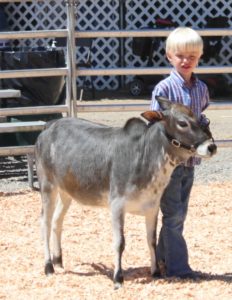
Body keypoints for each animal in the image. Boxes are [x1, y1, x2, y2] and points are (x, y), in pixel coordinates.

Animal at [35, 96, 217, 288]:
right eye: (182, 123)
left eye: (198, 118)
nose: (211, 147)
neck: (144, 156)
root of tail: (50, 126)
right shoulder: (116, 206)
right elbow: (119, 243)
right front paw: (118, 278)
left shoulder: (153, 207)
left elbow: (151, 240)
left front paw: (156, 272)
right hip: (47, 186)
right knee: (45, 223)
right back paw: (49, 266)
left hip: (66, 192)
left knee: (57, 221)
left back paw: (58, 261)